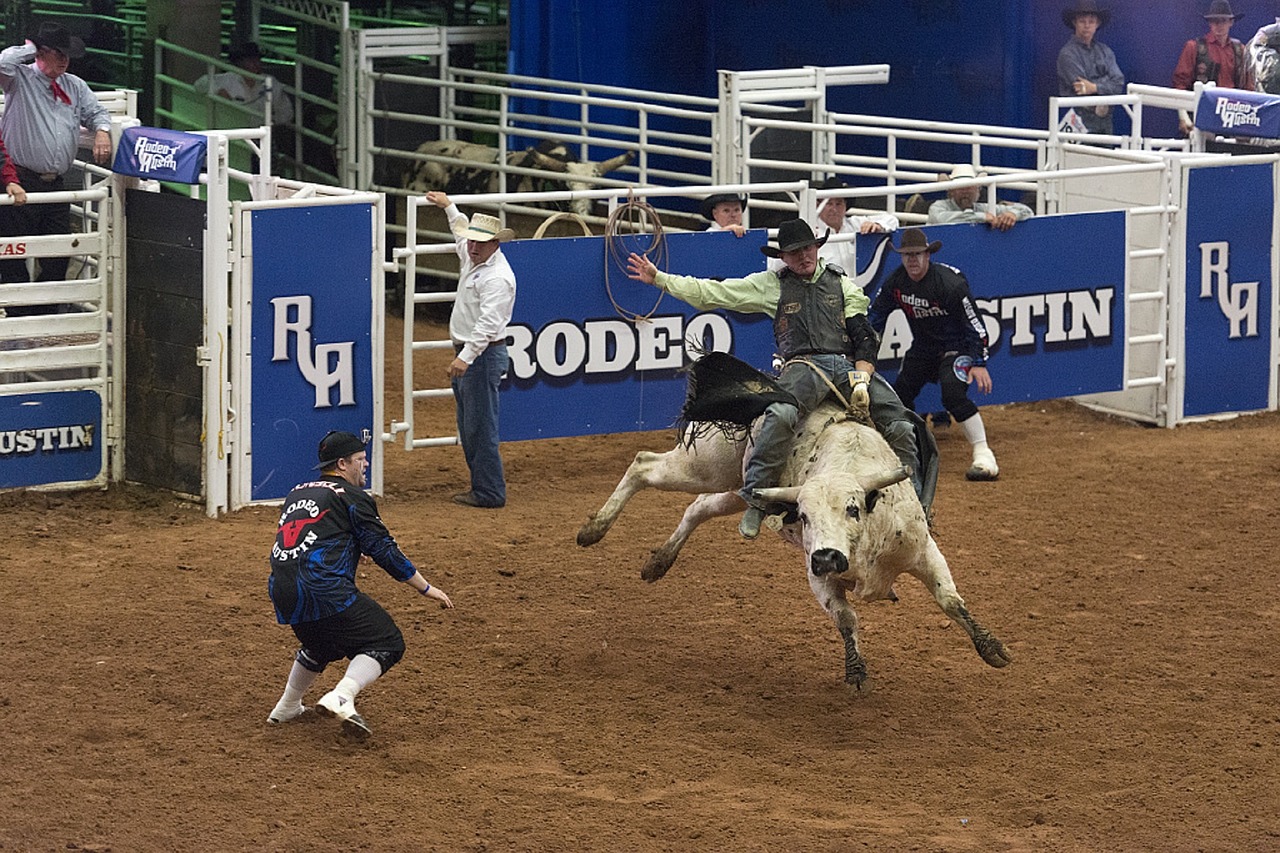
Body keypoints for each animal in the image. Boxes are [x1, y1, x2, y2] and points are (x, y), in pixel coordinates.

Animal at [578, 353, 1008, 691]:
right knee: (643, 464)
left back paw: (658, 562)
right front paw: (856, 671)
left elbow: (951, 601)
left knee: (697, 507)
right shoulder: (816, 574)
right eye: (803, 515)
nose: (829, 557)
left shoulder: (923, 551)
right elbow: (846, 617)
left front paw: (993, 649)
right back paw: (593, 530)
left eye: (853, 508)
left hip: (735, 487)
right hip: (705, 466)